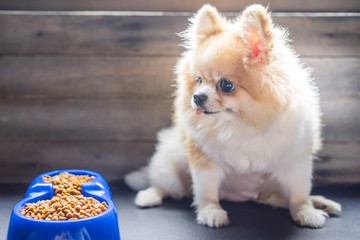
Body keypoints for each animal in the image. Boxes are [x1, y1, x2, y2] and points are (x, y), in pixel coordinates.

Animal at [126, 4, 340, 229]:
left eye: (226, 85)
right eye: (199, 80)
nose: (197, 97)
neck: (241, 124)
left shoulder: (295, 161)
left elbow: (299, 193)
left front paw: (306, 211)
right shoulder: (204, 159)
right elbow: (206, 190)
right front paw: (210, 211)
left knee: (281, 198)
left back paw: (320, 202)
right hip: (170, 166)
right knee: (166, 186)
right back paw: (149, 195)